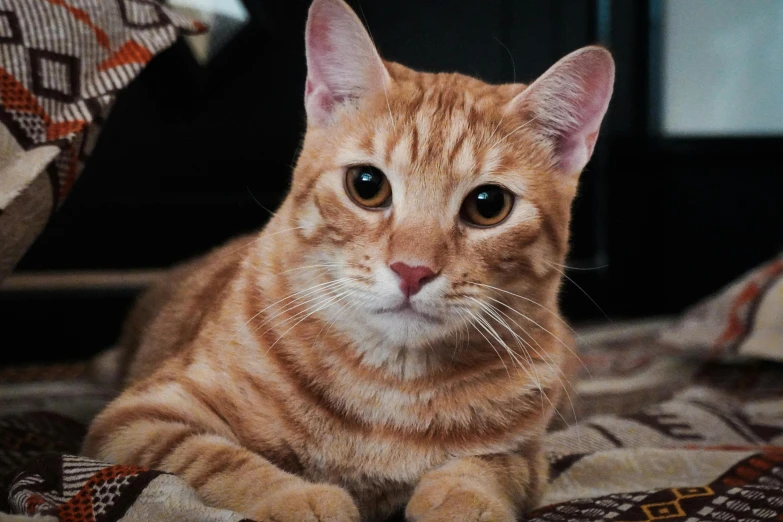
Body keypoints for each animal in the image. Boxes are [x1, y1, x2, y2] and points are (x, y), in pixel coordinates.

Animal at [84, 1, 612, 520]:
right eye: (367, 185)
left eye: (488, 205)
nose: (412, 270)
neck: (391, 387)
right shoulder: (139, 418)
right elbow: (216, 459)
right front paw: (294, 498)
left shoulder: (527, 457)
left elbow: (488, 468)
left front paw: (463, 500)